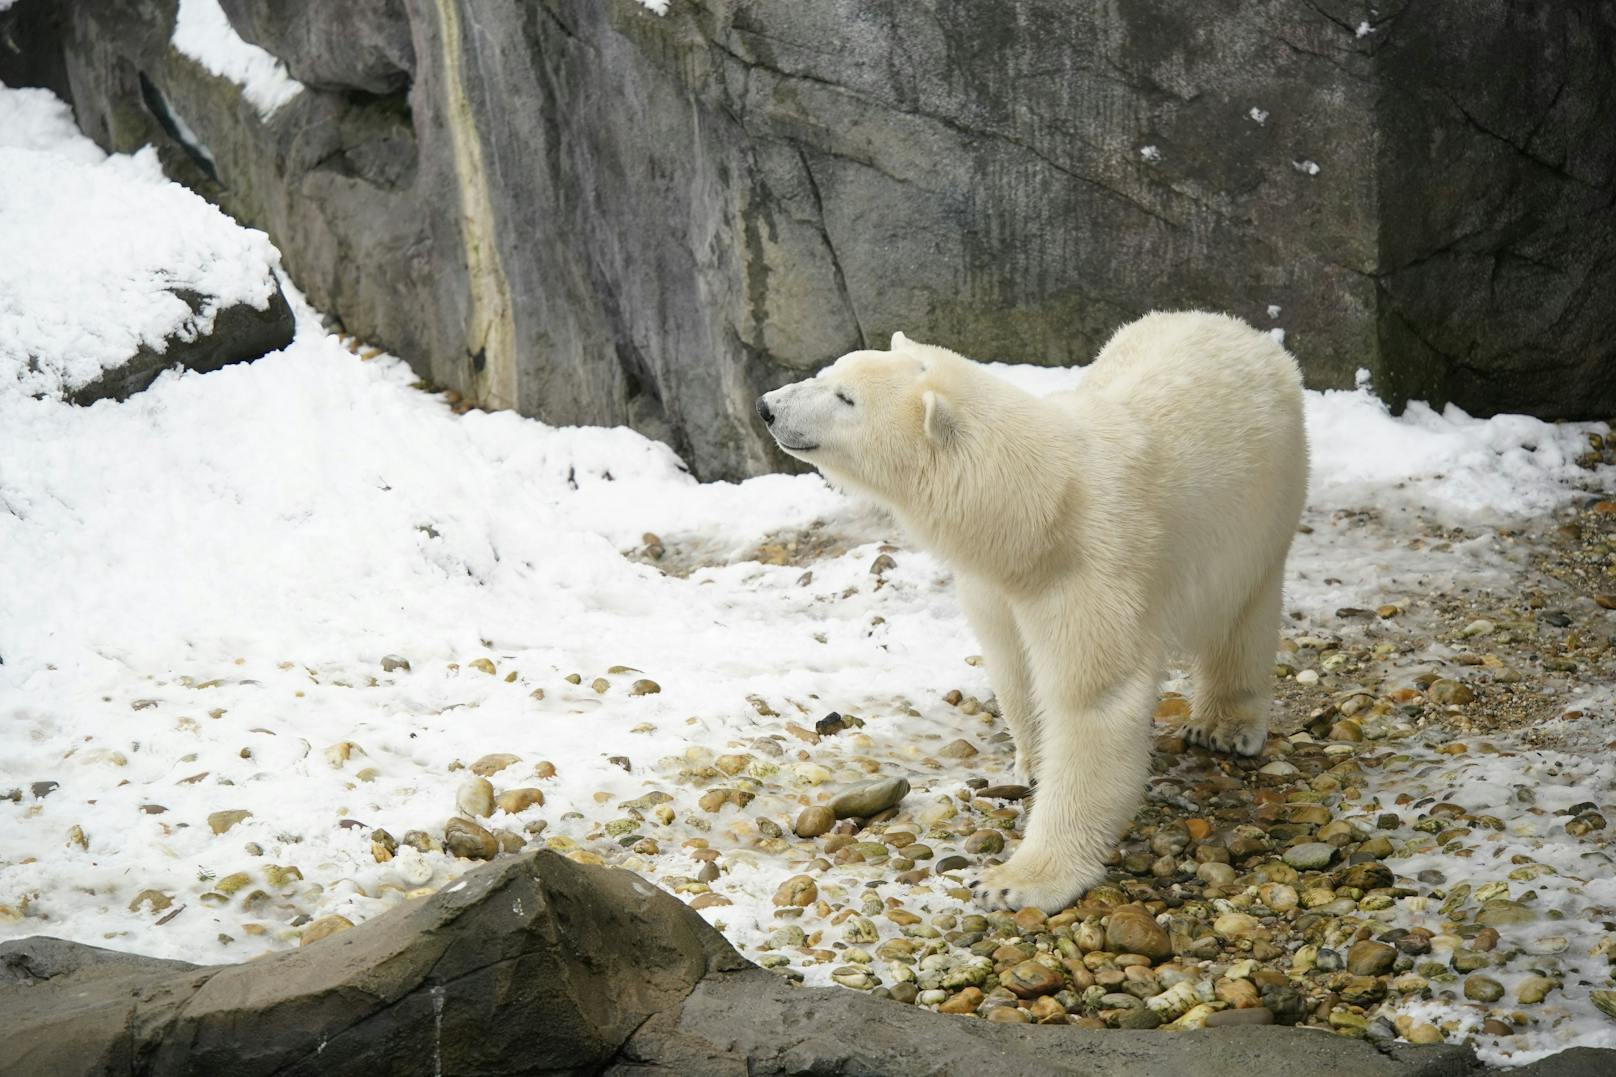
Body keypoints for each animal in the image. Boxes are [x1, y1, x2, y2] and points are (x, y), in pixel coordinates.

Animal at [759, 308, 1312, 905]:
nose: (767, 406)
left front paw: (1015, 882)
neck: (1040, 512)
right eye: (829, 372)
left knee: (1245, 611)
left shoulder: (1096, 566)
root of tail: (1232, 324)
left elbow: (1093, 702)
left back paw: (1223, 727)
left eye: (846, 398)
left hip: (1264, 505)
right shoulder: (996, 582)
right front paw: (1033, 763)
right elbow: (1012, 663)